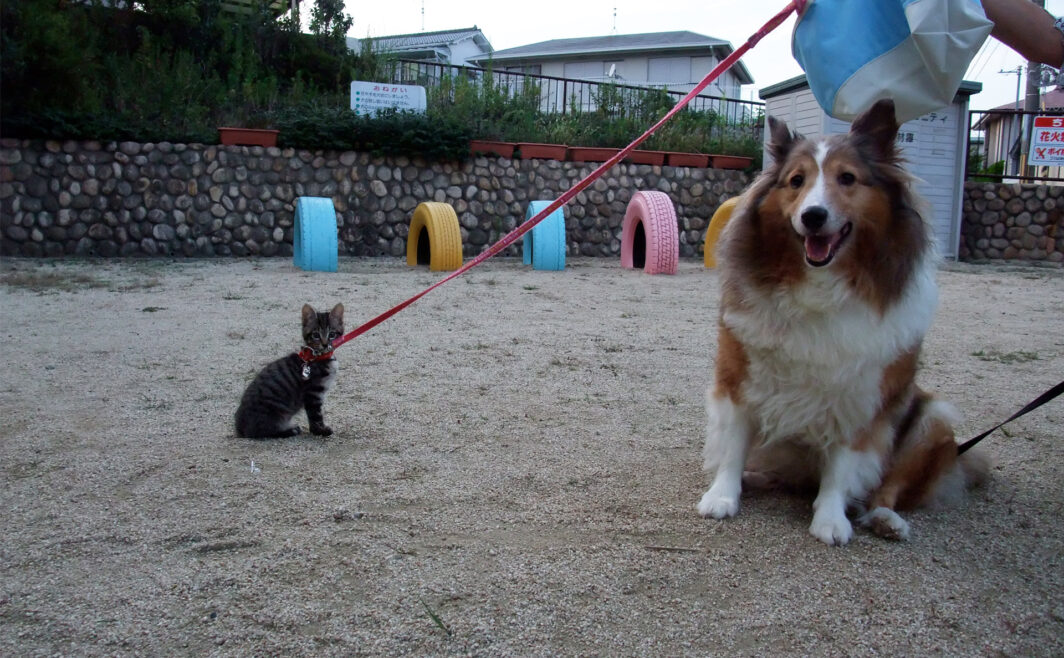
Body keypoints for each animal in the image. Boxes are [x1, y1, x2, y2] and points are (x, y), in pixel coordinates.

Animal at [237, 300, 344, 436]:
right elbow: (315, 415)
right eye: (315, 335)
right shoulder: (313, 393)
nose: (325, 344)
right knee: (263, 430)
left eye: (332, 334)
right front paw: (319, 430)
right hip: (276, 410)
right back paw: (289, 430)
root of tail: (239, 426)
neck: (317, 356)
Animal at [693, 98, 983, 543]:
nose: (813, 216)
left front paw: (830, 520)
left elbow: (843, 466)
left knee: (886, 488)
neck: (818, 285)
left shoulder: (861, 393)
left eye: (847, 178)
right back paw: (756, 478)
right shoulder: (738, 374)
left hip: (932, 421)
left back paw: (884, 519)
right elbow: (733, 443)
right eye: (796, 181)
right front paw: (723, 496)